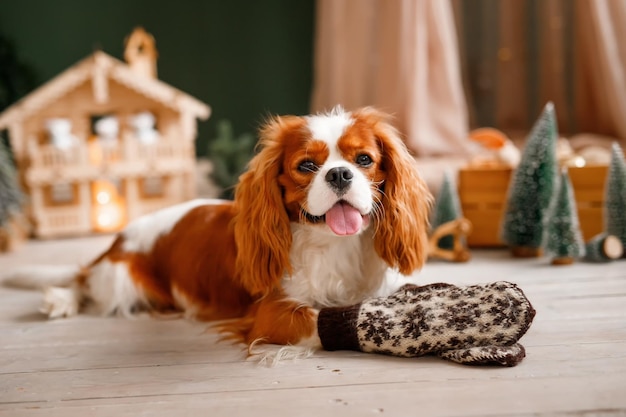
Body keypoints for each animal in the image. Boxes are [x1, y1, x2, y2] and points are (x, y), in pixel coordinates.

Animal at [4, 105, 432, 350]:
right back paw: (60, 300)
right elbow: (318, 319)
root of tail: (117, 240)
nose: (340, 174)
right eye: (307, 166)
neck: (334, 245)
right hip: (122, 279)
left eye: (364, 160)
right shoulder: (272, 312)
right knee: (85, 284)